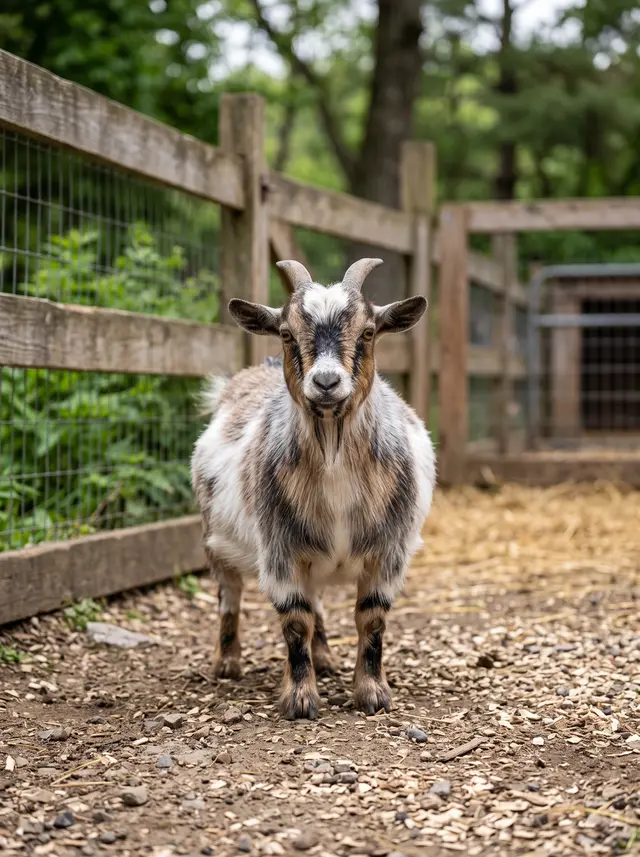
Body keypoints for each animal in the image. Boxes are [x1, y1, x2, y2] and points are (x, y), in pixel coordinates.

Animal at [191, 258, 436, 719]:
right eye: (287, 333)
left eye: (369, 332)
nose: (325, 382)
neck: (333, 451)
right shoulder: (280, 549)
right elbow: (294, 621)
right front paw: (300, 699)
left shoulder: (389, 550)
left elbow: (371, 619)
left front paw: (372, 694)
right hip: (214, 538)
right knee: (230, 595)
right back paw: (227, 662)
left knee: (317, 598)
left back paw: (323, 656)